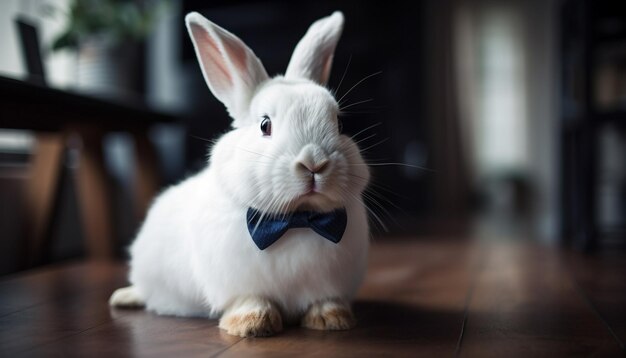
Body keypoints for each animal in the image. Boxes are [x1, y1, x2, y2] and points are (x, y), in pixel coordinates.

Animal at [109, 9, 368, 338]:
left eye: (339, 123)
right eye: (265, 125)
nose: (314, 163)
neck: (297, 220)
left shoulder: (328, 283)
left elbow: (324, 300)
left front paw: (331, 319)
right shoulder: (239, 284)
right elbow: (250, 301)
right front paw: (251, 324)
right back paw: (122, 298)